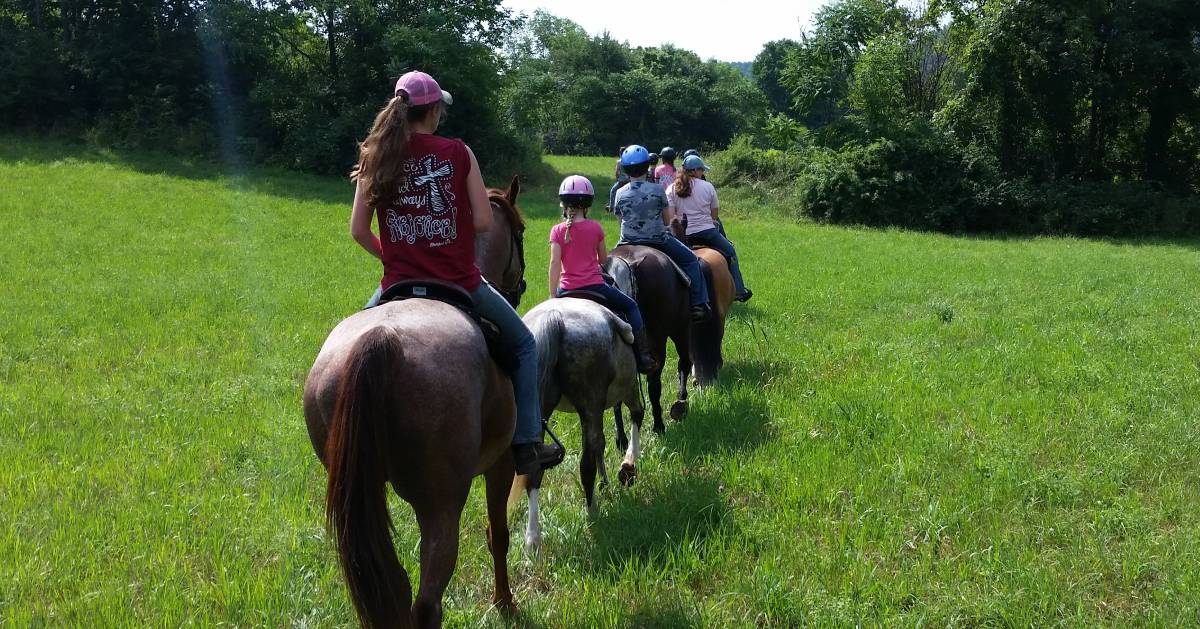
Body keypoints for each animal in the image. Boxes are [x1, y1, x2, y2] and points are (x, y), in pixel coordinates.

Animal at [513, 297, 648, 552]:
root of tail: (555, 318)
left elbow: (600, 445)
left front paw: (606, 483)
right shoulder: (628, 389)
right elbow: (636, 416)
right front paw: (629, 464)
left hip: (539, 408)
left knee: (534, 470)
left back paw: (533, 542)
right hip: (593, 401)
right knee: (586, 464)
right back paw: (592, 511)